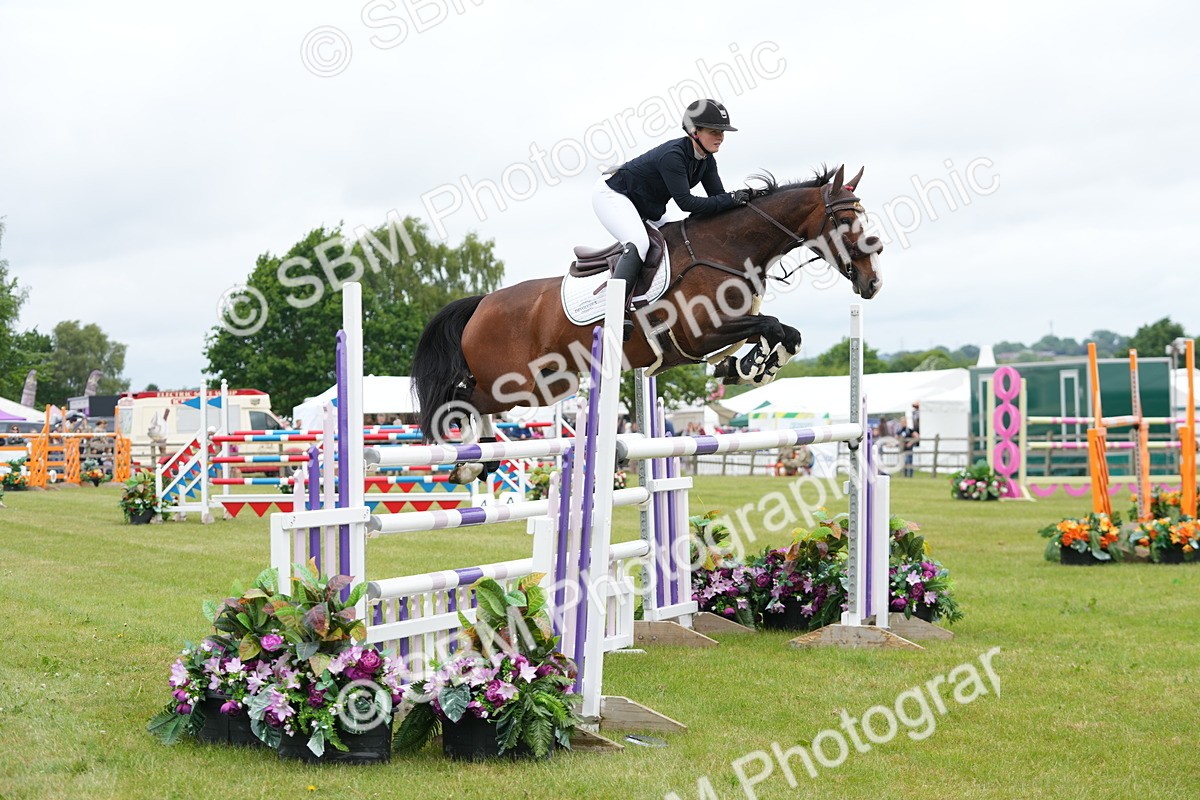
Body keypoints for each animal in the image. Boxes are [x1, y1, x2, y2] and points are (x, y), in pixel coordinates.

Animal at [412, 164, 883, 483]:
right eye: (846, 220)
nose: (873, 282)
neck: (726, 248)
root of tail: (483, 303)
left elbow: (787, 333)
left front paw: (748, 366)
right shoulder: (700, 334)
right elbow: (771, 325)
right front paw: (750, 365)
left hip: (548, 384)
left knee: (475, 401)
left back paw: (481, 458)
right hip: (516, 383)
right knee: (462, 398)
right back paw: (468, 461)